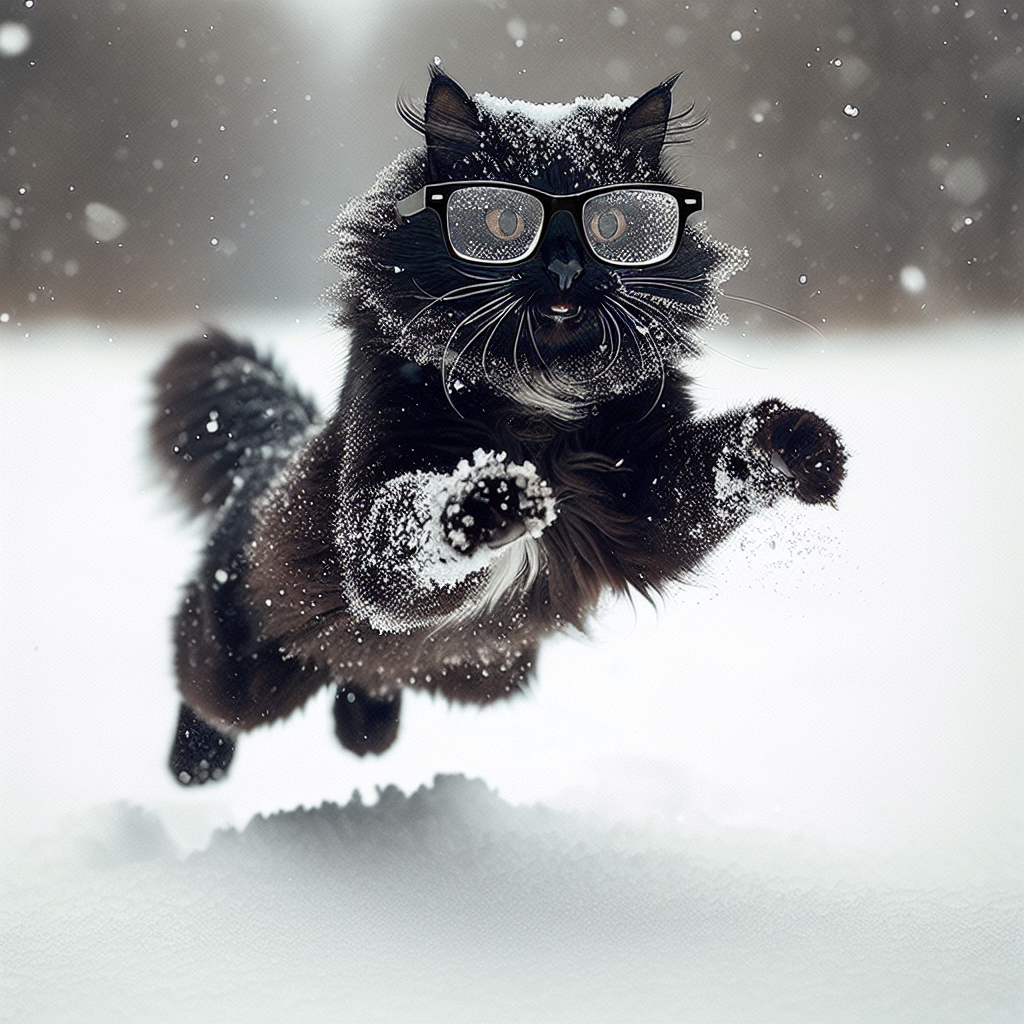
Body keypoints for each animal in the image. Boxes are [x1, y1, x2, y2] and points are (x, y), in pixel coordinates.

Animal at [149, 70, 839, 782]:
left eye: (612, 222)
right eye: (505, 221)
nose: (565, 268)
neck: (541, 390)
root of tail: (273, 454)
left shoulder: (641, 493)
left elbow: (722, 466)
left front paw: (802, 445)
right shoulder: (377, 519)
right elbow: (416, 520)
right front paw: (500, 498)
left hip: (487, 675)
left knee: (367, 686)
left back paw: (363, 731)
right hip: (241, 666)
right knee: (203, 686)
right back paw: (195, 765)